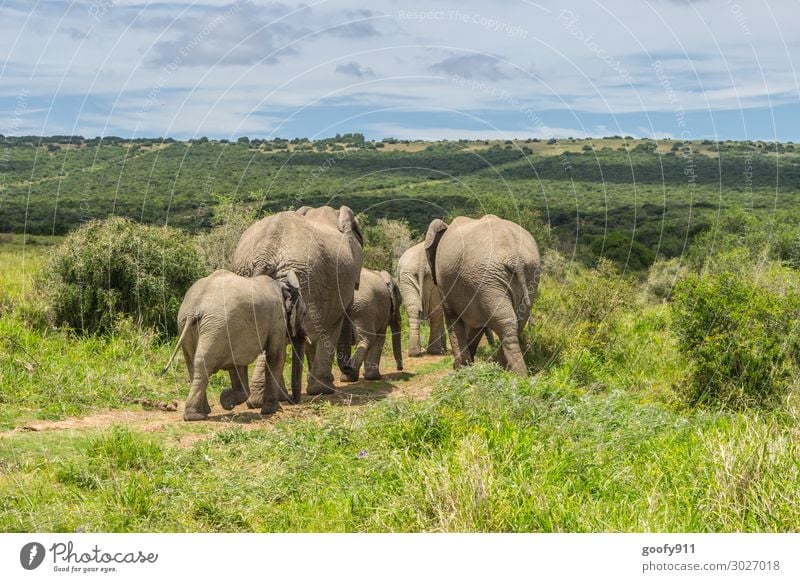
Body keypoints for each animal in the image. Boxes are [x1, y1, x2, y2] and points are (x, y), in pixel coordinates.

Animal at [161, 272, 304, 422]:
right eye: (304, 314)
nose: (291, 399)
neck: (281, 285)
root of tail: (193, 311)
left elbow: (238, 365)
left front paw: (226, 400)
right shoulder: (277, 318)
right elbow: (275, 356)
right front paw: (271, 410)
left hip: (189, 325)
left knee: (193, 365)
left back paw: (204, 412)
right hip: (217, 327)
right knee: (203, 364)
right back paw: (196, 416)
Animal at [233, 204, 364, 402]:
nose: (349, 371)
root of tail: (265, 254)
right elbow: (330, 329)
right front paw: (323, 389)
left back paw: (269, 398)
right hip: (303, 276)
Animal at [422, 217, 540, 376]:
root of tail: (515, 256)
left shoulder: (445, 282)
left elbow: (453, 319)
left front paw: (460, 370)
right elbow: (477, 324)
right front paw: (467, 365)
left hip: (488, 277)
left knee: (505, 322)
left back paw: (513, 374)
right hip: (526, 274)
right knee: (516, 322)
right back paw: (505, 370)